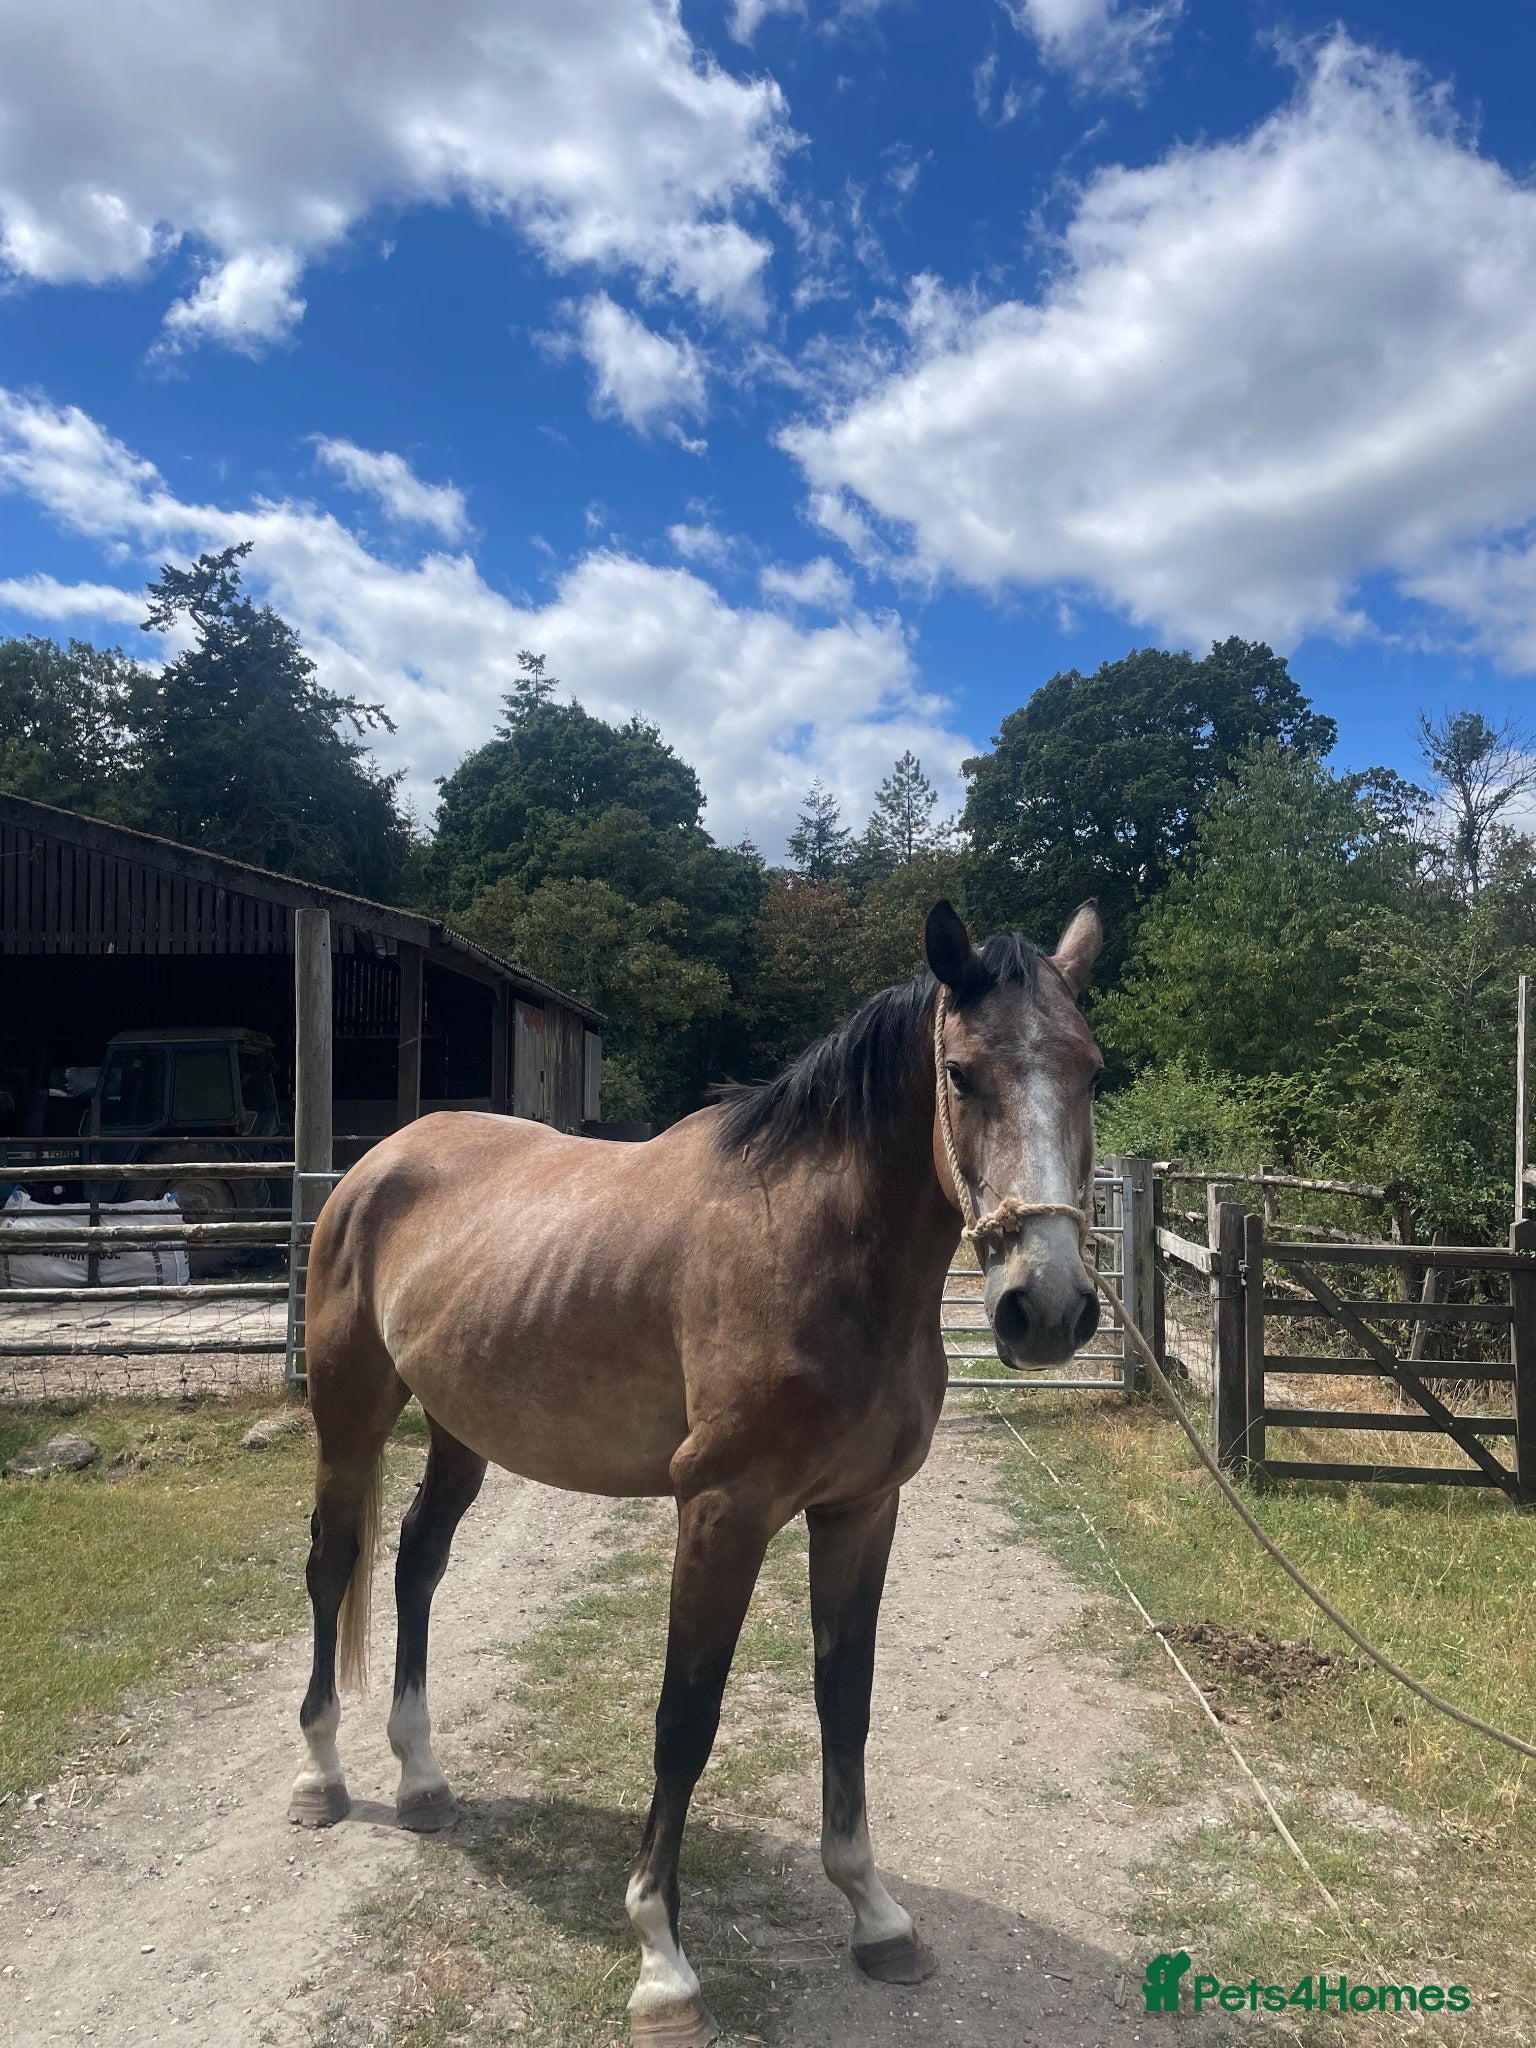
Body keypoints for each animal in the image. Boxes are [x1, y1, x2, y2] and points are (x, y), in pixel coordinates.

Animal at [289, 898, 1104, 2047]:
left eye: (1092, 1071)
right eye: (961, 1071)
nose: (1049, 1307)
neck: (815, 1252)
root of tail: (377, 1163)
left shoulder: (862, 1510)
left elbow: (844, 1699)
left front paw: (875, 1912)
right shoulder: (721, 1513)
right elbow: (686, 1719)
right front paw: (661, 1957)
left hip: (461, 1427)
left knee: (414, 1563)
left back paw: (421, 1777)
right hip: (351, 1412)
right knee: (334, 1564)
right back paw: (321, 1775)